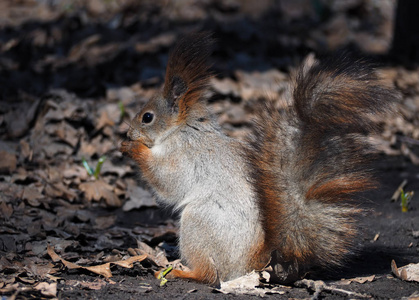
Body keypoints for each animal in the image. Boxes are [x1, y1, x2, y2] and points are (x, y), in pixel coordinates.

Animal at [120, 32, 398, 284]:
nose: (128, 132)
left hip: (199, 222)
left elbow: (168, 182)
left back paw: (181, 272)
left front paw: (133, 148)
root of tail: (255, 262)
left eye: (147, 117)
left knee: (210, 275)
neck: (181, 129)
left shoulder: (184, 154)